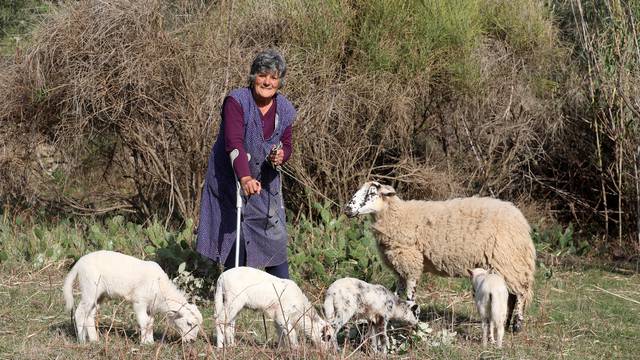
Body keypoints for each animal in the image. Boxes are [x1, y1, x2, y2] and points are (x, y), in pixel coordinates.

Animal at [62, 249, 202, 344]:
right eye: (189, 323)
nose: (192, 341)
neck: (161, 288)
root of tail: (79, 263)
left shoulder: (151, 306)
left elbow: (150, 322)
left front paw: (150, 341)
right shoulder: (139, 302)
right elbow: (143, 321)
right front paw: (144, 343)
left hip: (100, 295)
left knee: (89, 315)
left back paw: (94, 340)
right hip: (90, 288)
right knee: (79, 313)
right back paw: (82, 341)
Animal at [344, 181, 536, 334]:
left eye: (371, 193)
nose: (347, 209)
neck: (397, 216)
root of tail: (522, 222)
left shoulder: (411, 264)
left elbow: (409, 296)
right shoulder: (399, 267)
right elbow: (396, 294)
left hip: (508, 260)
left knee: (520, 292)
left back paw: (517, 326)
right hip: (506, 265)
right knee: (511, 295)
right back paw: (506, 322)